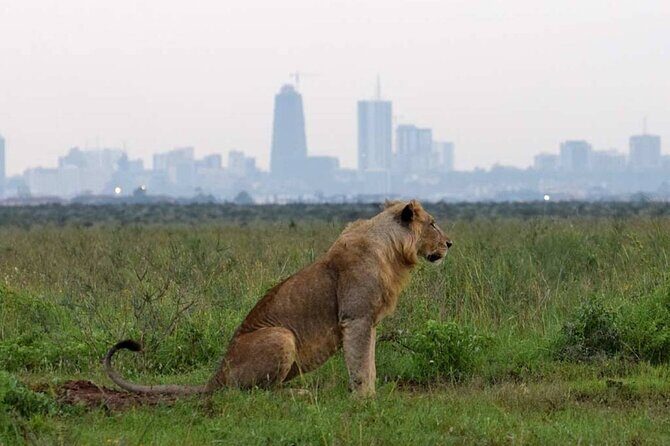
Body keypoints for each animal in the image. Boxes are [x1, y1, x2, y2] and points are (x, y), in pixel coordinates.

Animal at [104, 200, 453, 397]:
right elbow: (360, 364)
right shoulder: (356, 318)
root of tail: (217, 374)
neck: (392, 250)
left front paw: (370, 395)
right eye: (433, 223)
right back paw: (297, 393)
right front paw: (364, 400)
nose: (450, 243)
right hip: (281, 335)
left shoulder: (369, 323)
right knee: (259, 394)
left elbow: (369, 363)